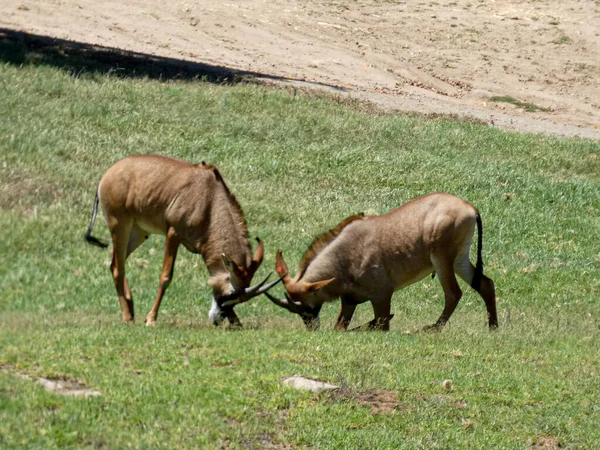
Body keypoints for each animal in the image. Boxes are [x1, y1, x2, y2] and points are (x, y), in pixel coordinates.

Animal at [83, 155, 282, 326]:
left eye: (239, 297)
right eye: (231, 293)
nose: (216, 319)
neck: (209, 197)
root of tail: (107, 175)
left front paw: (237, 322)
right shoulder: (173, 233)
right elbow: (166, 276)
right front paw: (151, 319)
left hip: (138, 232)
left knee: (115, 260)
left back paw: (131, 308)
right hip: (120, 225)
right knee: (118, 267)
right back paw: (127, 317)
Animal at [266, 192, 496, 332]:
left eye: (305, 307)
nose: (312, 328)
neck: (345, 253)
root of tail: (470, 209)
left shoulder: (382, 296)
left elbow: (381, 324)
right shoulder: (349, 301)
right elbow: (341, 327)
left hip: (442, 260)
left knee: (453, 293)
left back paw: (433, 329)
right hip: (459, 260)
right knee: (485, 284)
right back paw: (493, 327)